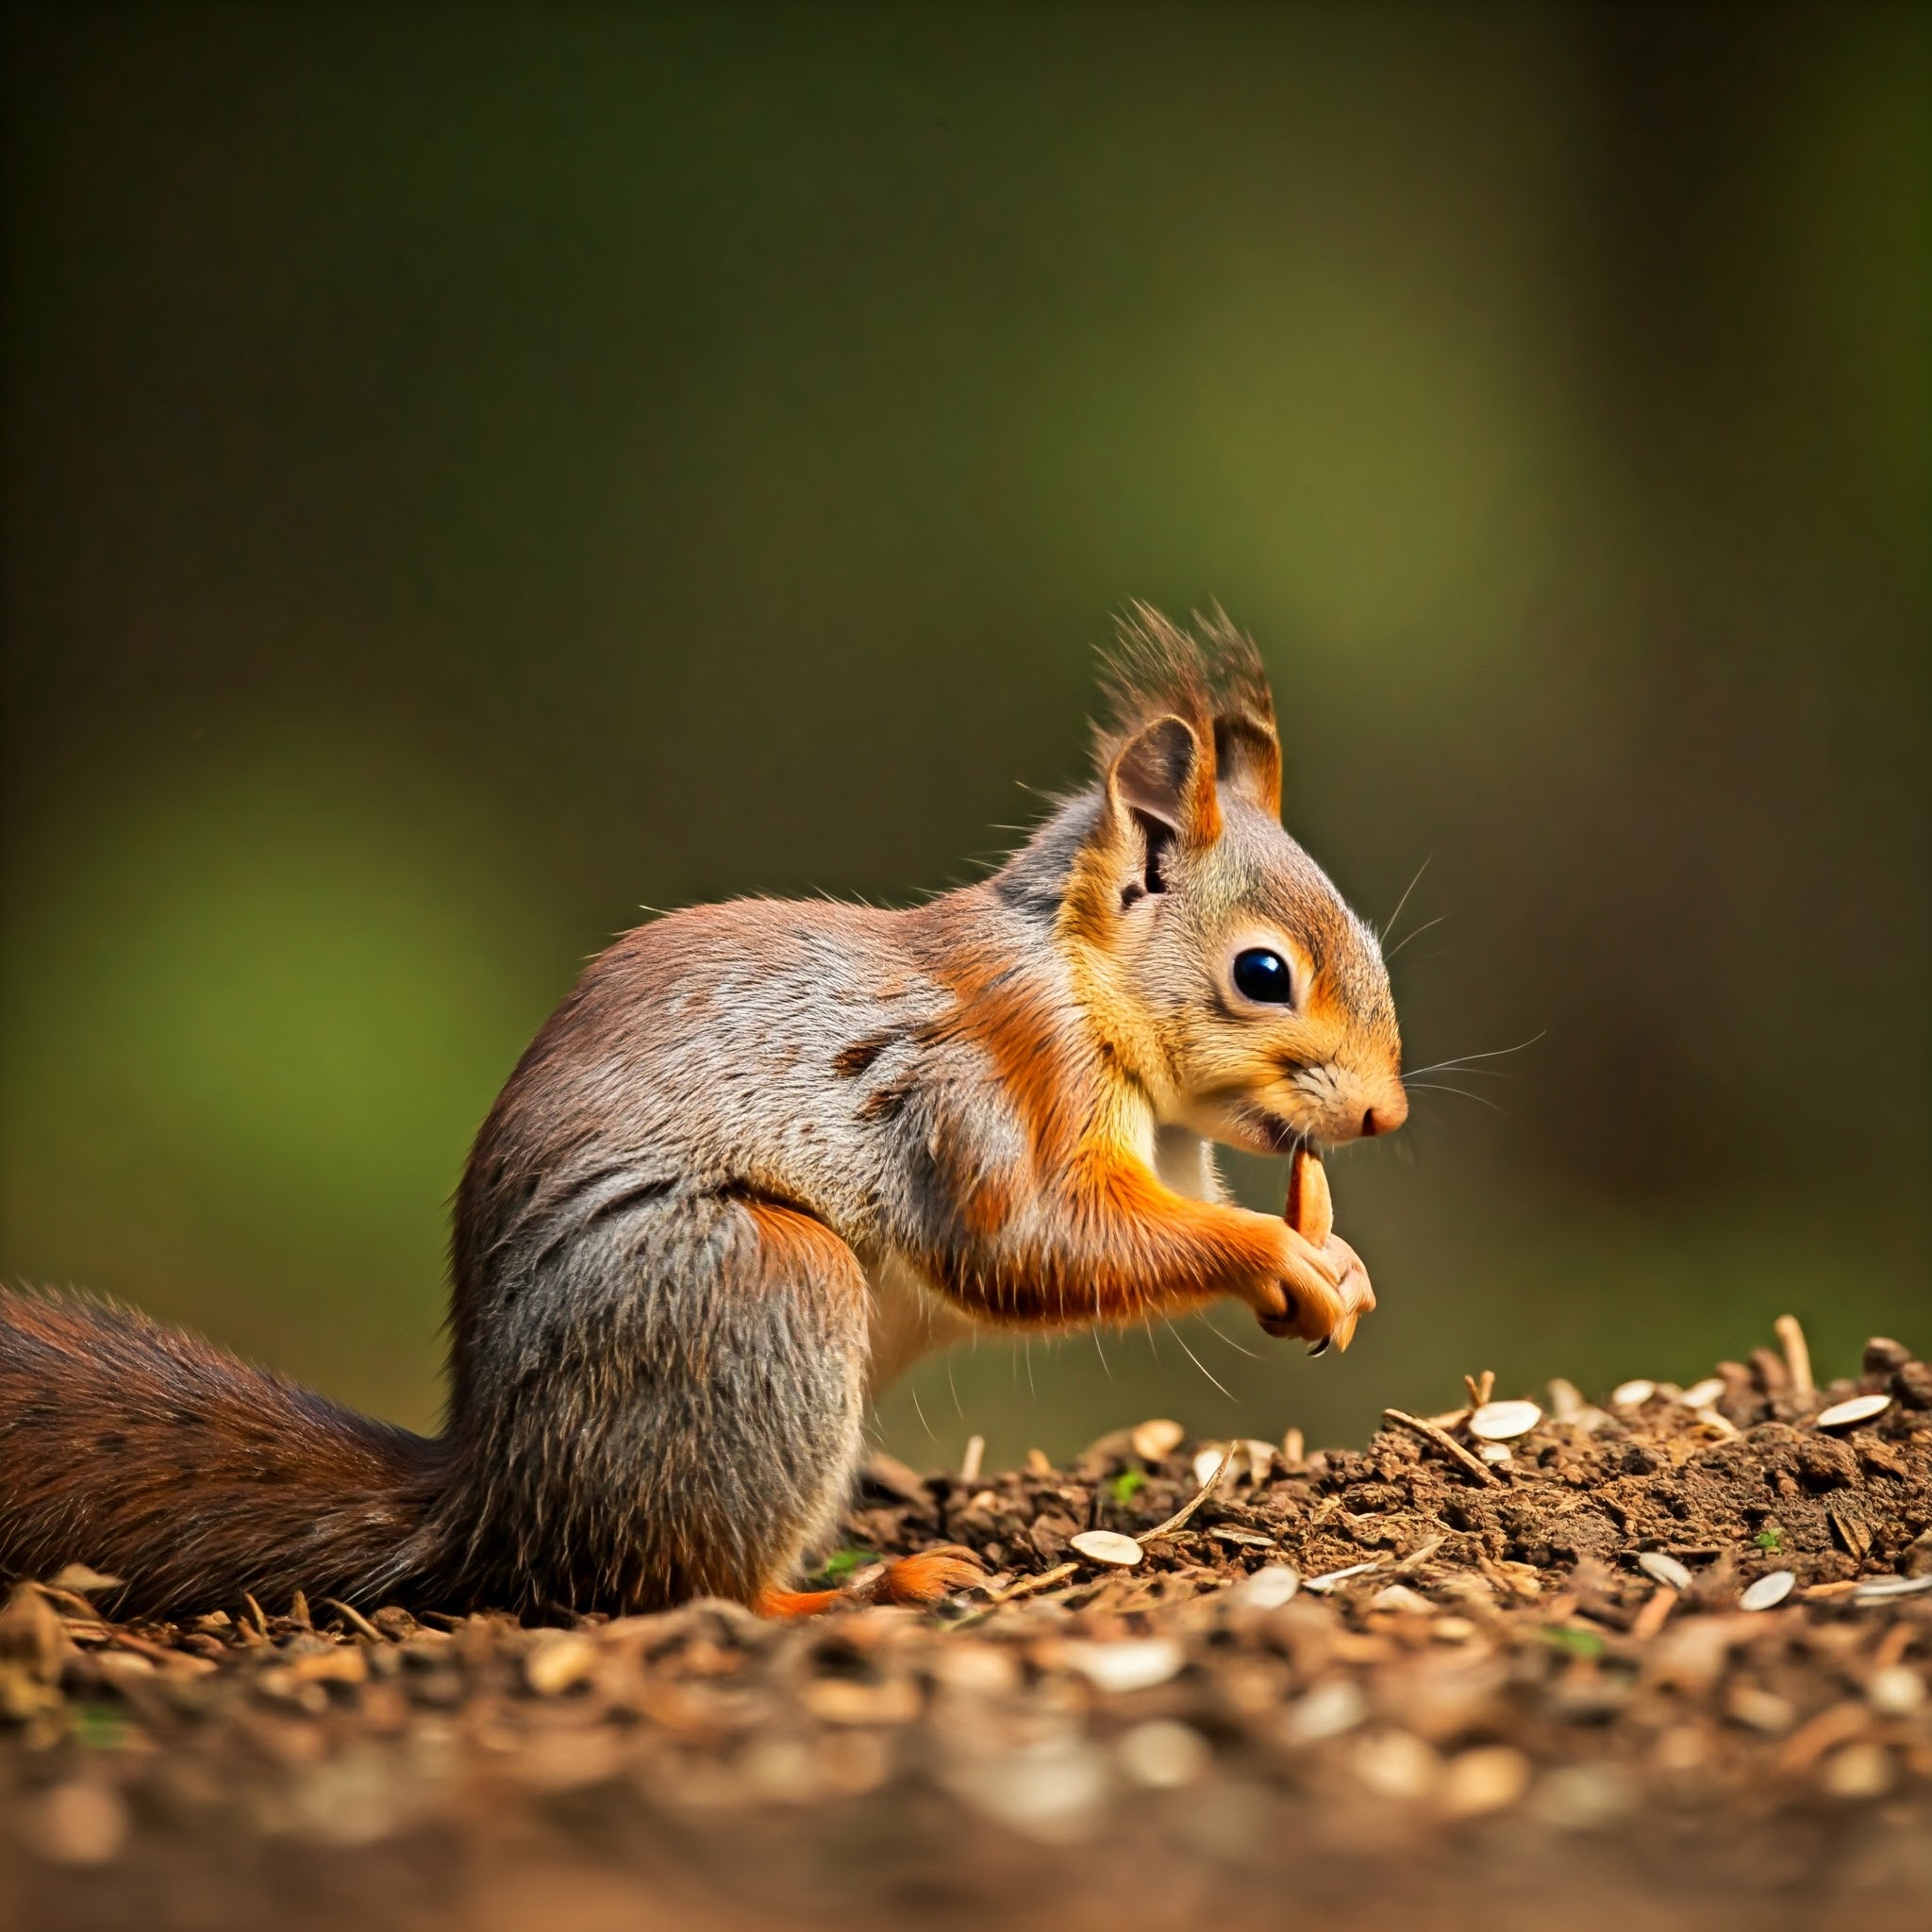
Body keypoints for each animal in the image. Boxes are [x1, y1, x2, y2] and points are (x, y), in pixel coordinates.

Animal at [0, 610, 1406, 1623]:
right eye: (1263, 972)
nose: (1385, 1115)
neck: (1077, 980)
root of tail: (499, 1491)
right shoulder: (994, 1084)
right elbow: (1034, 1244)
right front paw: (1276, 1254)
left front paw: (1333, 1264)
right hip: (761, 1287)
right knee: (689, 1589)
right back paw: (856, 1592)